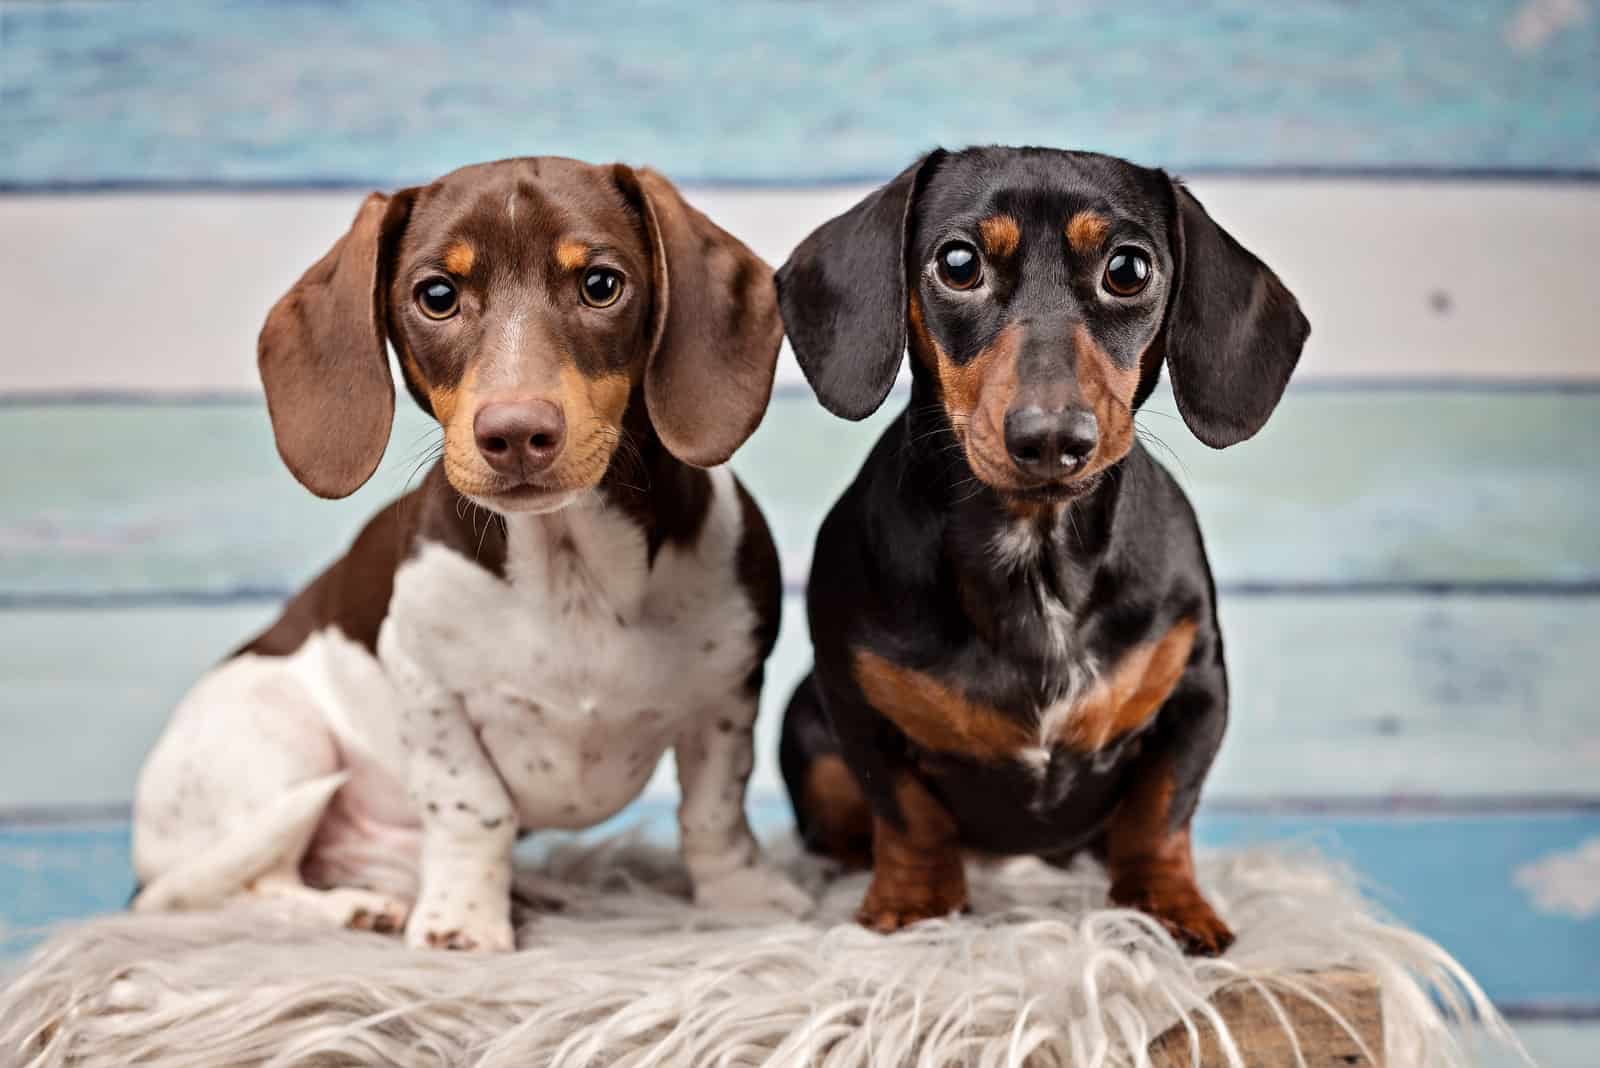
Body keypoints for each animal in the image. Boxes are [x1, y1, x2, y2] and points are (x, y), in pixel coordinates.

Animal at [134, 154, 812, 946]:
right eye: (437, 295)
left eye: (600, 284)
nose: (515, 433)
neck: (570, 568)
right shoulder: (427, 686)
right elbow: (473, 807)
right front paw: (462, 923)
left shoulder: (727, 690)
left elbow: (714, 813)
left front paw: (743, 899)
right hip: (274, 739)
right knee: (237, 886)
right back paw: (351, 908)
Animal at [774, 146, 1312, 952]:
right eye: (958, 263)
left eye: (1129, 269)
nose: (1053, 438)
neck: (1037, 555)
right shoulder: (855, 698)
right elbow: (907, 816)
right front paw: (915, 906)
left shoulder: (1195, 688)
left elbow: (1161, 812)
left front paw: (1169, 908)